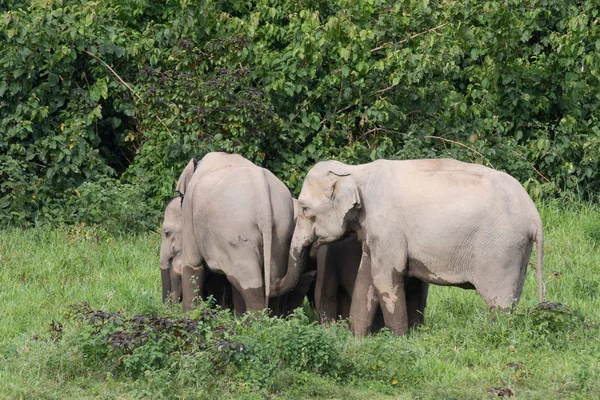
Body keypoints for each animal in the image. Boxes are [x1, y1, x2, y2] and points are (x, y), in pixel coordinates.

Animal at [176, 152, 298, 312]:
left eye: (181, 198)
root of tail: (262, 192)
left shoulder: (189, 211)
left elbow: (192, 263)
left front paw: (190, 314)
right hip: (282, 228)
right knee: (271, 280)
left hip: (235, 231)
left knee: (249, 282)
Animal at [272, 158, 544, 336]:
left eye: (304, 209)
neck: (356, 171)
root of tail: (534, 215)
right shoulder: (375, 231)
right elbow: (366, 279)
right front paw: (357, 339)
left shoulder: (386, 226)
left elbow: (385, 277)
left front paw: (399, 340)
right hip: (518, 250)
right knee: (514, 295)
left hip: (500, 249)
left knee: (500, 303)